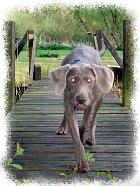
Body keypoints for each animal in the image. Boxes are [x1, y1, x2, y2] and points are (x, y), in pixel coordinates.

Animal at [49, 44, 114, 173]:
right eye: (72, 80)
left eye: (89, 80)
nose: (81, 99)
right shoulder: (69, 105)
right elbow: (76, 136)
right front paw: (82, 162)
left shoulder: (90, 104)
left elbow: (84, 124)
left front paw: (82, 136)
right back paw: (62, 127)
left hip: (101, 95)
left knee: (94, 119)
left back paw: (90, 138)